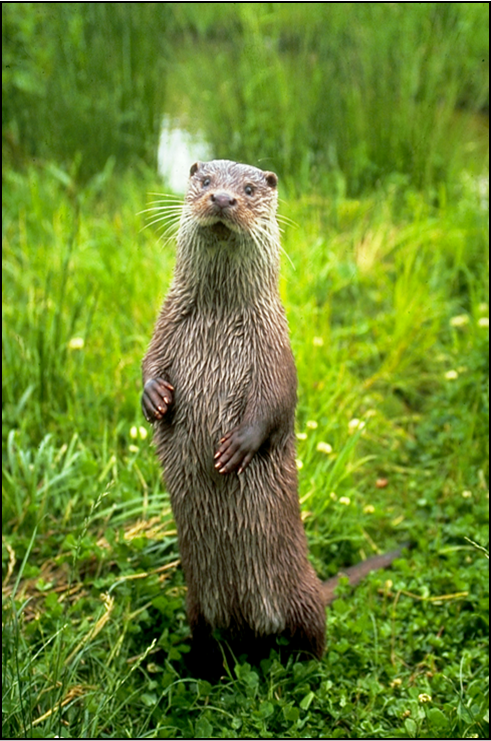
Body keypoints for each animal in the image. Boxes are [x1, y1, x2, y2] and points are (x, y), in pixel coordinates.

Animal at [142, 160, 404, 678]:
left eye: (247, 188)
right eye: (205, 181)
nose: (223, 199)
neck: (219, 322)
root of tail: (249, 626)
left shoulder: (276, 353)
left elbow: (275, 405)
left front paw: (237, 447)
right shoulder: (164, 327)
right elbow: (146, 365)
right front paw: (154, 398)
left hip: (300, 596)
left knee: (315, 633)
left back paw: (310, 670)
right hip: (197, 604)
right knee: (206, 637)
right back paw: (200, 668)